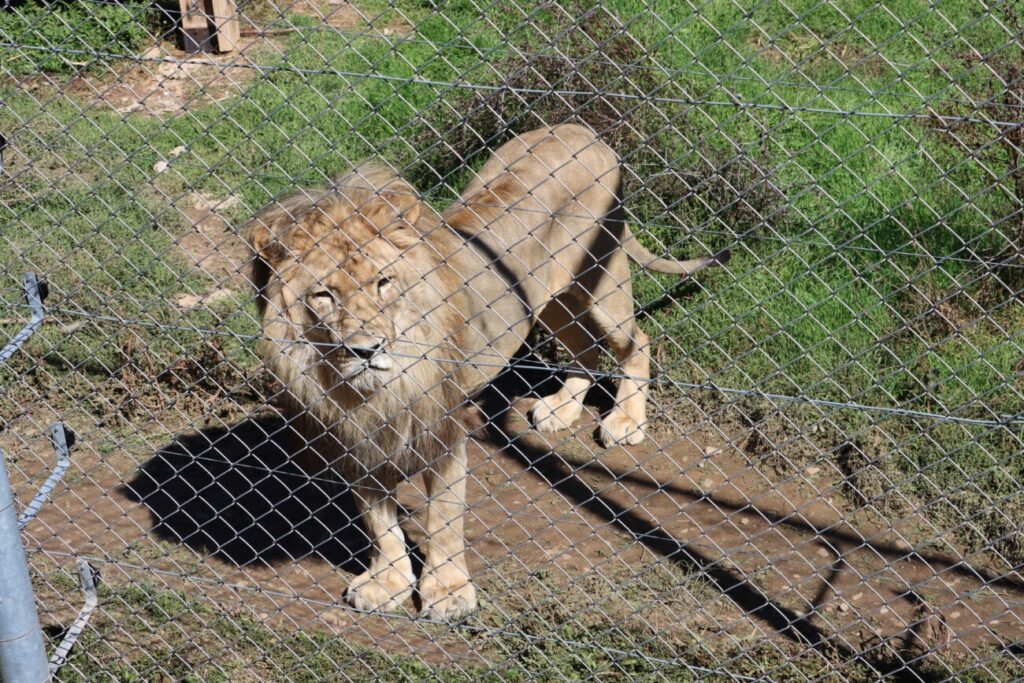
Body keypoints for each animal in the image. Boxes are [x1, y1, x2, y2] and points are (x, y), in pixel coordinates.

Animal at [246, 122, 729, 618]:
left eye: (383, 283)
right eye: (324, 295)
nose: (366, 349)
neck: (372, 388)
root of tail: (581, 130)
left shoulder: (442, 432)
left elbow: (442, 517)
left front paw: (448, 592)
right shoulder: (357, 438)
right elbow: (379, 522)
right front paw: (387, 584)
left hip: (603, 280)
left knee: (637, 343)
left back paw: (625, 421)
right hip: (546, 297)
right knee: (583, 348)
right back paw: (561, 410)